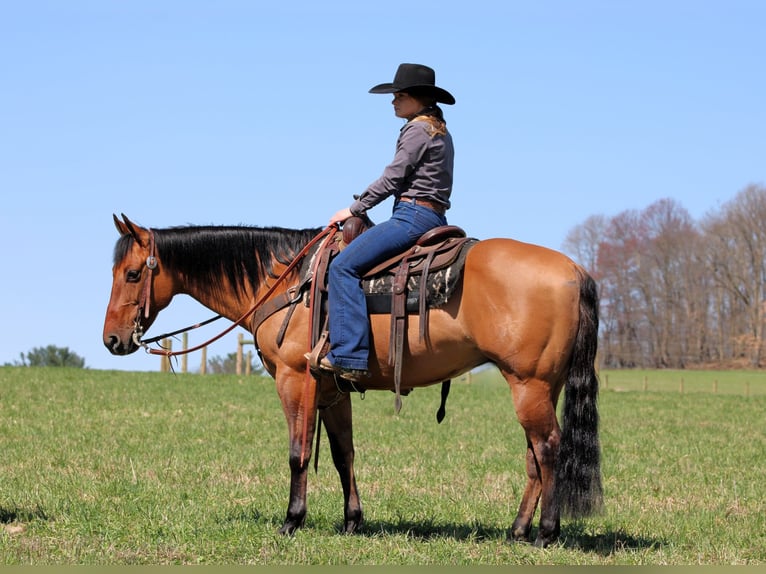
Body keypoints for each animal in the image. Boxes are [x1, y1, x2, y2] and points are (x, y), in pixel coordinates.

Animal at [102, 213, 602, 547]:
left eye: (132, 273)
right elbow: (344, 455)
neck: (285, 283)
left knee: (548, 448)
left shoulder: (295, 380)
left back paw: (545, 533)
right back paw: (517, 530)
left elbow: (298, 453)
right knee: (535, 455)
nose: (112, 340)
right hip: (541, 385)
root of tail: (575, 271)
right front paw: (352, 520)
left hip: (529, 384)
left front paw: (292, 520)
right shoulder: (331, 390)